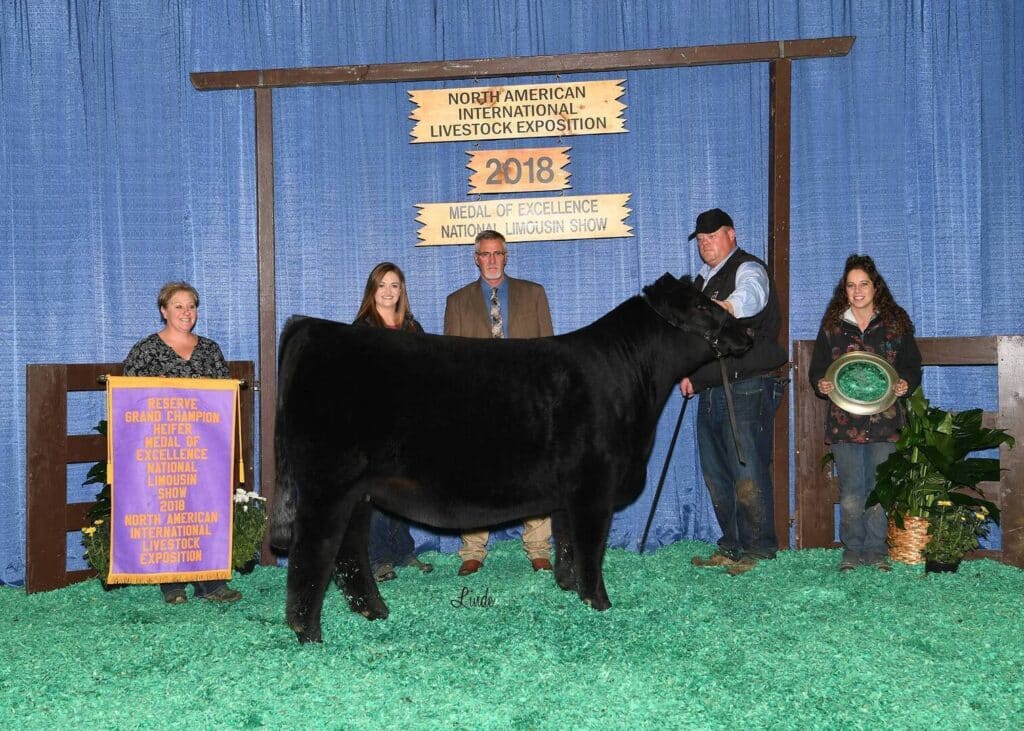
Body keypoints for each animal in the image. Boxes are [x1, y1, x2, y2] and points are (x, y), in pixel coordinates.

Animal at [269, 273, 752, 643]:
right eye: (704, 306)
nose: (747, 332)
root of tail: (311, 327)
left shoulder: (568, 493)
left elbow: (568, 544)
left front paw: (568, 588)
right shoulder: (594, 487)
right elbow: (591, 547)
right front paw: (598, 603)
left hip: (358, 492)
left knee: (349, 552)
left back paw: (373, 611)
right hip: (327, 486)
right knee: (312, 553)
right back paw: (309, 633)